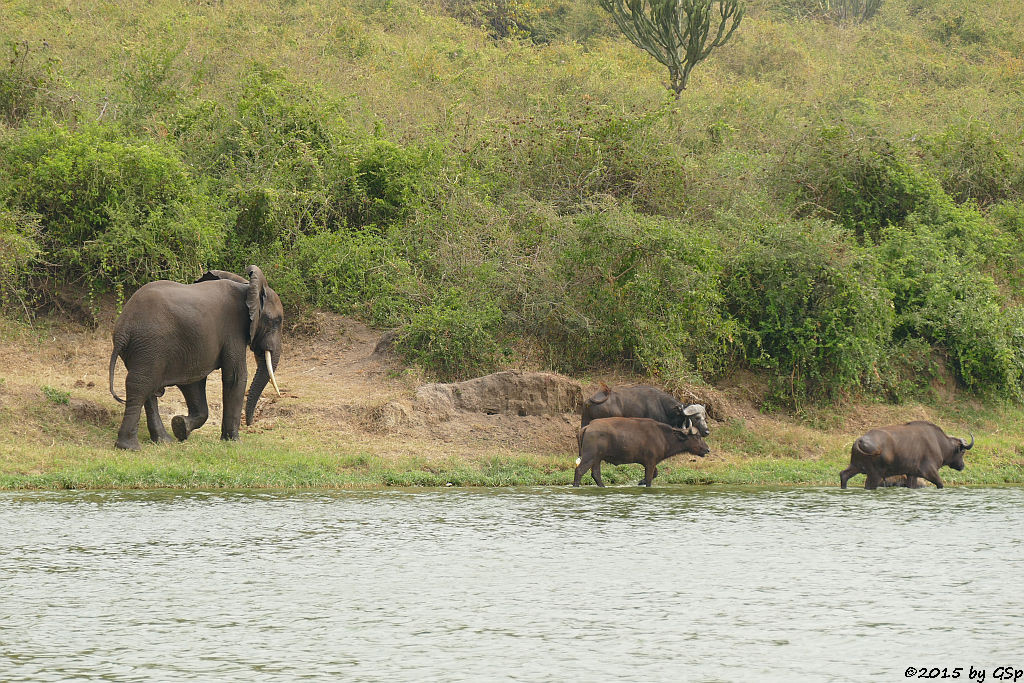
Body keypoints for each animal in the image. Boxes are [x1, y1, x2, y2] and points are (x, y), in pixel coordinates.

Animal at [107, 268, 284, 454]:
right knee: (140, 385)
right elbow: (235, 377)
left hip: (143, 349)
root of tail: (123, 330)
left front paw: (180, 427)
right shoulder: (234, 331)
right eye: (276, 321)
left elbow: (193, 382)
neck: (248, 287)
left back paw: (163, 441)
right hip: (150, 345)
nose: (249, 424)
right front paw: (234, 442)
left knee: (147, 387)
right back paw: (130, 447)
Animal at [573, 413, 708, 489]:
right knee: (579, 470)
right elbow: (649, 479)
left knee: (595, 474)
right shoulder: (650, 462)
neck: (663, 437)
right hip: (590, 456)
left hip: (597, 458)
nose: (707, 449)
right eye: (697, 437)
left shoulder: (650, 463)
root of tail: (587, 427)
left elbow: (655, 474)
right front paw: (642, 482)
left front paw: (639, 482)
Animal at [839, 421, 974, 491]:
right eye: (963, 452)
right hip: (874, 474)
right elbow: (940, 484)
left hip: (856, 466)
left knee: (843, 475)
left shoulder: (912, 474)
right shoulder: (930, 471)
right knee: (868, 485)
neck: (940, 444)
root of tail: (860, 440)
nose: (962, 466)